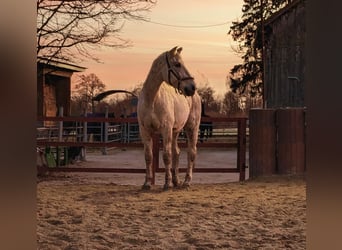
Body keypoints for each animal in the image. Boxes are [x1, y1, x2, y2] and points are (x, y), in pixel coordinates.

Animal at [137, 47, 202, 190]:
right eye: (177, 64)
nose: (192, 87)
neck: (152, 100)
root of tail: (197, 96)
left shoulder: (165, 129)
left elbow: (166, 156)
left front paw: (167, 183)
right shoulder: (145, 131)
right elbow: (148, 156)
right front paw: (147, 183)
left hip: (191, 128)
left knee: (191, 152)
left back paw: (186, 181)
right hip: (175, 131)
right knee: (176, 152)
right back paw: (176, 181)